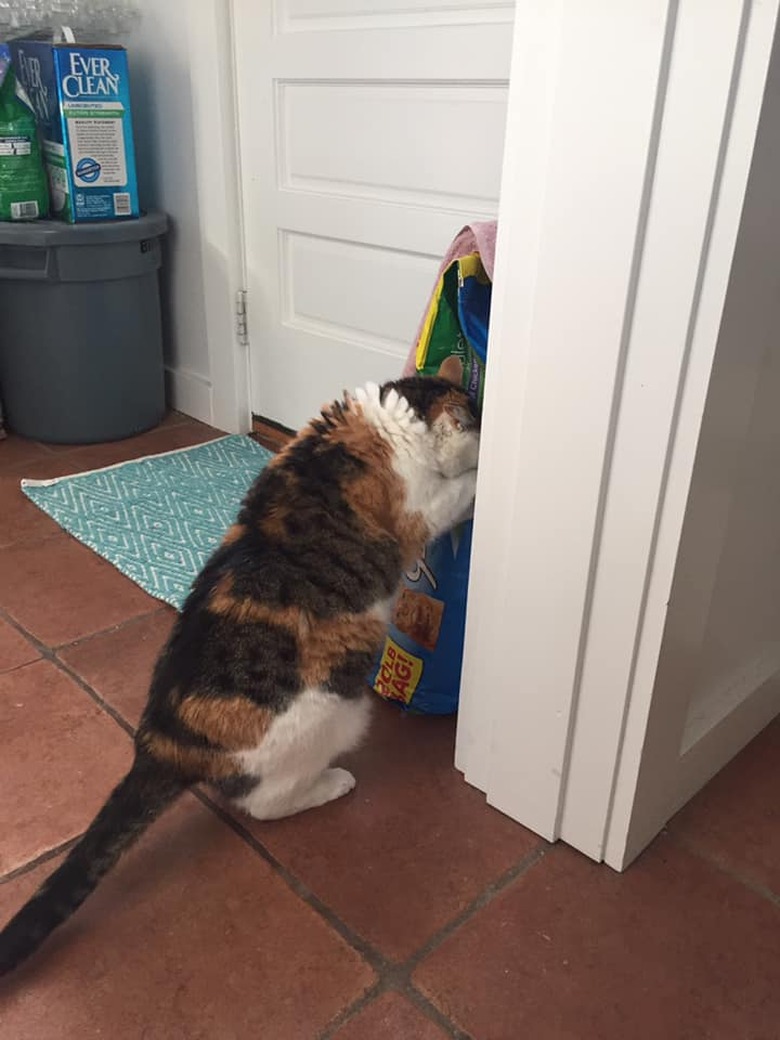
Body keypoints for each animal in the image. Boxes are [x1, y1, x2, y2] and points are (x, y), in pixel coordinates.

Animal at [0, 374, 480, 973]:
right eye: (475, 416)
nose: (484, 412)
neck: (393, 413)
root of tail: (162, 740)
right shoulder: (422, 507)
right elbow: (456, 490)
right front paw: (483, 469)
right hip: (336, 713)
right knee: (264, 804)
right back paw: (331, 784)